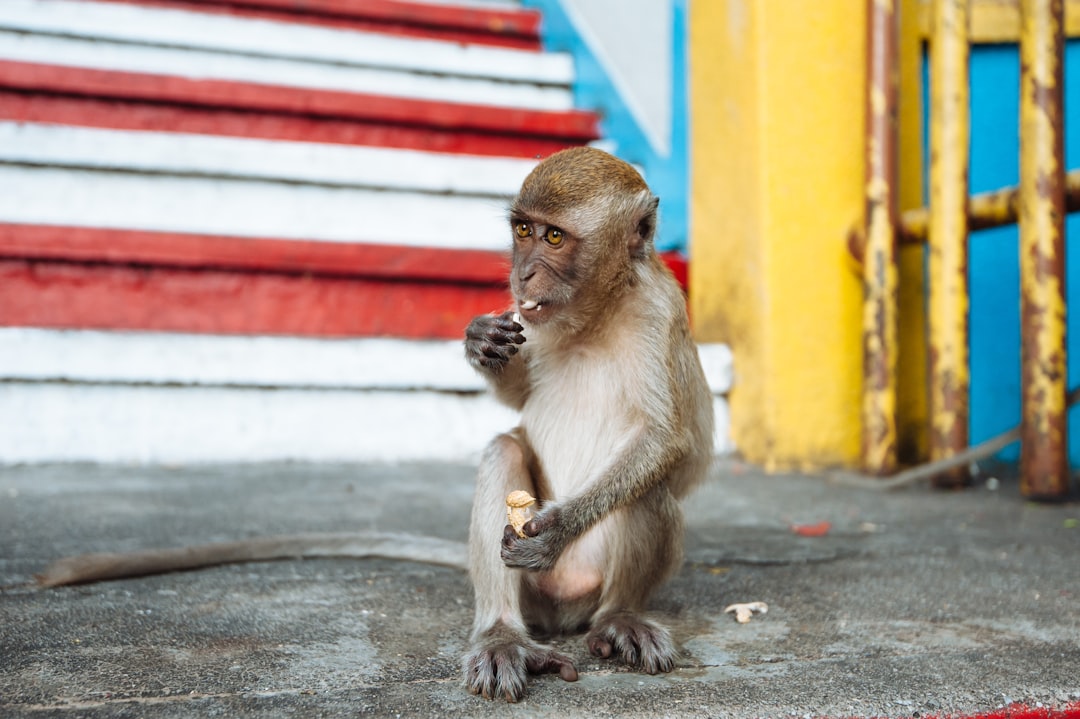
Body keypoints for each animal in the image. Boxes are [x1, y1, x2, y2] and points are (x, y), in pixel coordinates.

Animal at [460, 145, 712, 699]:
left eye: (554, 237)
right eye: (523, 230)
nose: (522, 275)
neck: (593, 316)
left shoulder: (658, 312)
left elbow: (663, 438)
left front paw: (556, 530)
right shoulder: (525, 317)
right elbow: (516, 397)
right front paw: (481, 342)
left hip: (588, 582)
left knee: (648, 487)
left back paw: (619, 620)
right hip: (532, 596)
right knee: (504, 449)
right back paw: (502, 636)